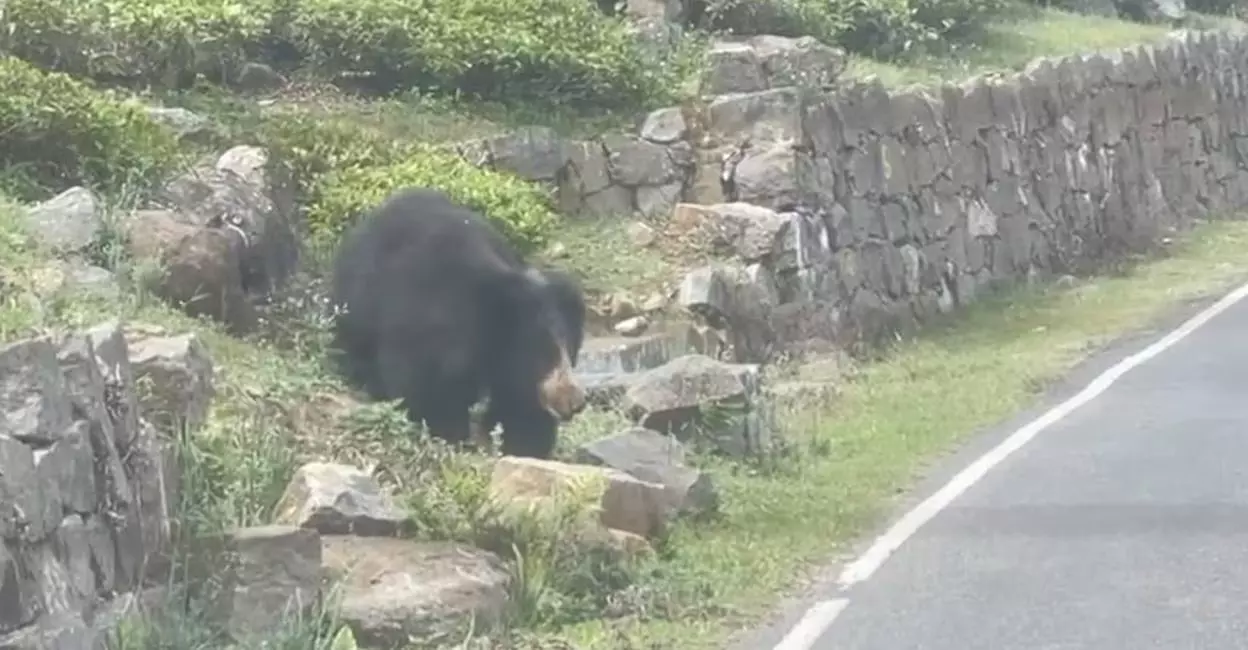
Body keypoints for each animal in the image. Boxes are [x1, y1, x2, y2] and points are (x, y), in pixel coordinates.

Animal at [329, 186, 588, 459]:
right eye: (543, 354)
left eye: (571, 350)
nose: (576, 401)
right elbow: (427, 384)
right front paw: (449, 433)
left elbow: (520, 406)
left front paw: (522, 447)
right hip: (357, 302)